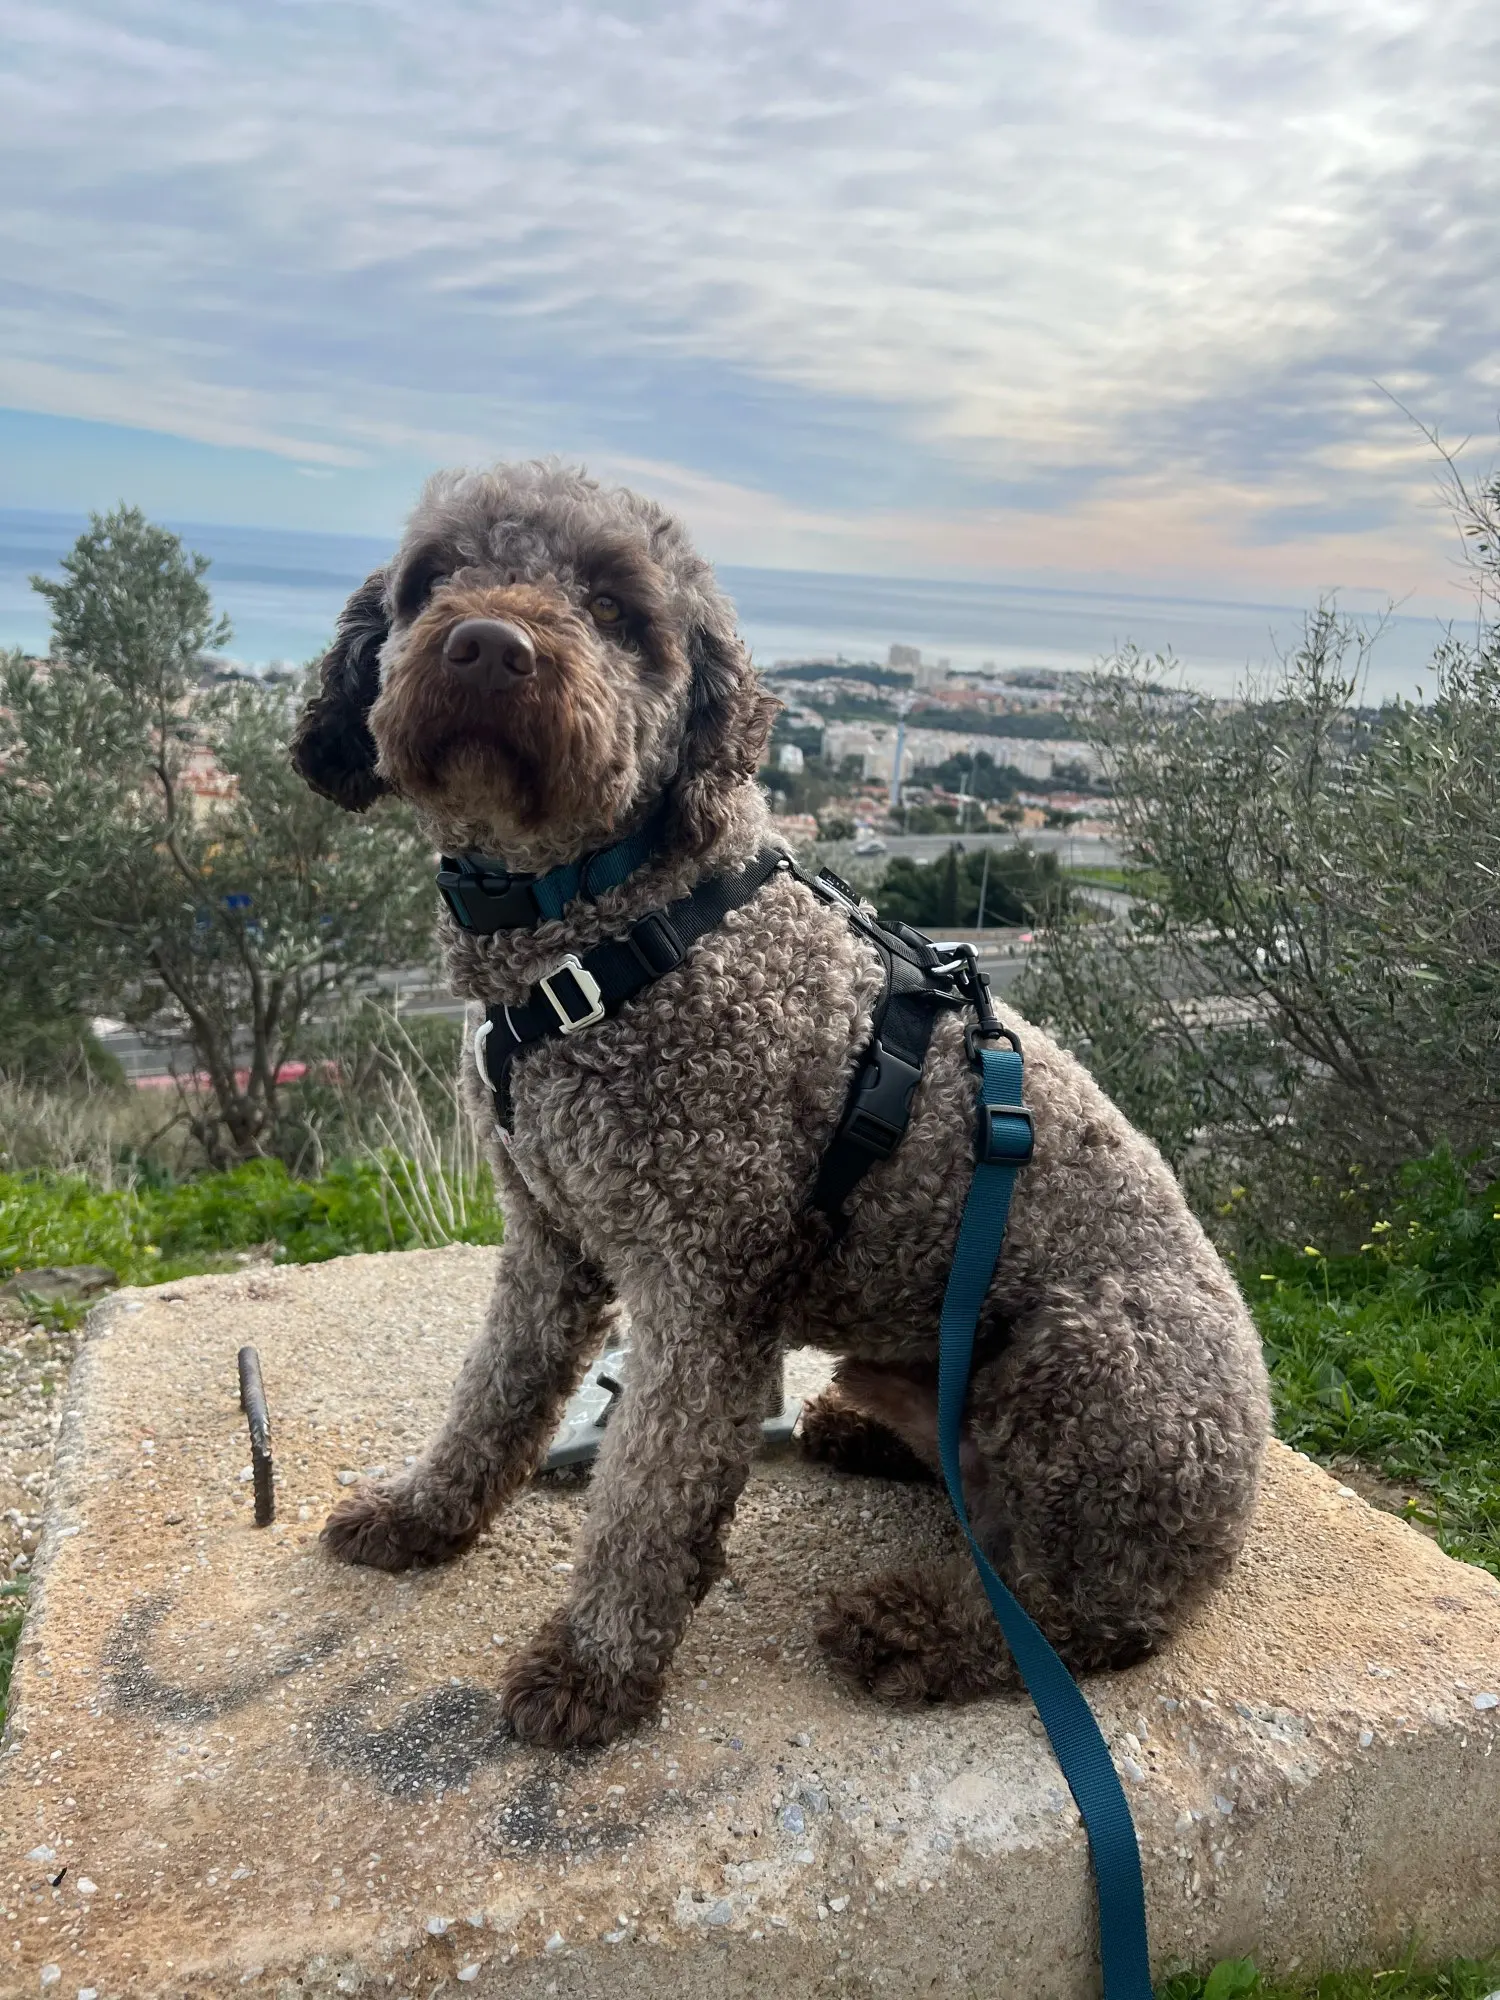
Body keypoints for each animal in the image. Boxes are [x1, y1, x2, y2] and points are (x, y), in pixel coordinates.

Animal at [290, 460, 1270, 1751]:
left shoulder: (703, 1288)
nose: (489, 645)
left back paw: (916, 1629)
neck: (601, 927)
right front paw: (424, 1514)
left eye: (618, 607)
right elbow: (492, 1395)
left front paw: (595, 1665)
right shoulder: (548, 1241)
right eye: (433, 575)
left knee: (1082, 1611)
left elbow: (647, 1497)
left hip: (1093, 1362)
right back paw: (866, 1436)